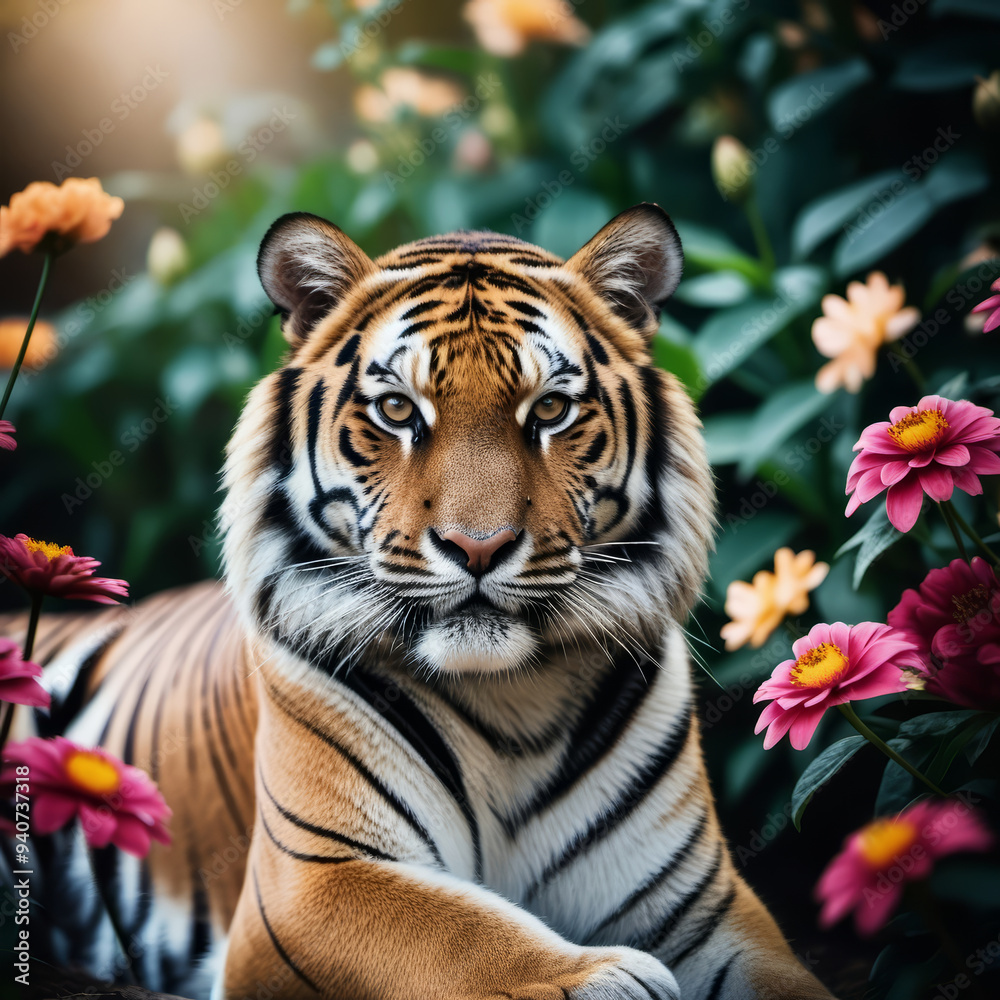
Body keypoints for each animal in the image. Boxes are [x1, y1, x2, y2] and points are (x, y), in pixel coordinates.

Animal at [8, 204, 837, 1000]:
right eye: (399, 412)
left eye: (550, 411)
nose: (479, 547)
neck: (515, 701)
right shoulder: (314, 881)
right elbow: (460, 932)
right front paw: (605, 978)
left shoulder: (700, 904)